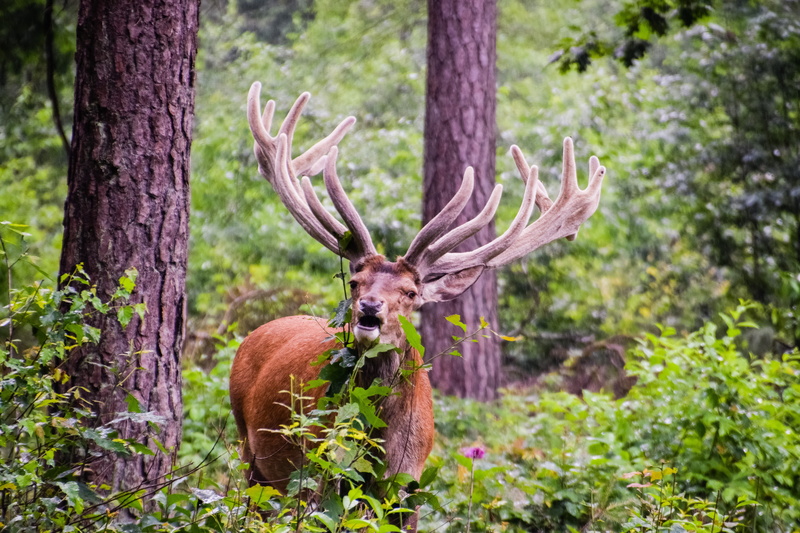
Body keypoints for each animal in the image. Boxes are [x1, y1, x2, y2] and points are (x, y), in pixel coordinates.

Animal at [229, 82, 606, 531]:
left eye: (411, 292)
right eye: (355, 282)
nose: (369, 309)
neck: (380, 445)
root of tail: (253, 335)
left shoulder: (408, 484)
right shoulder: (317, 472)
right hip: (251, 451)